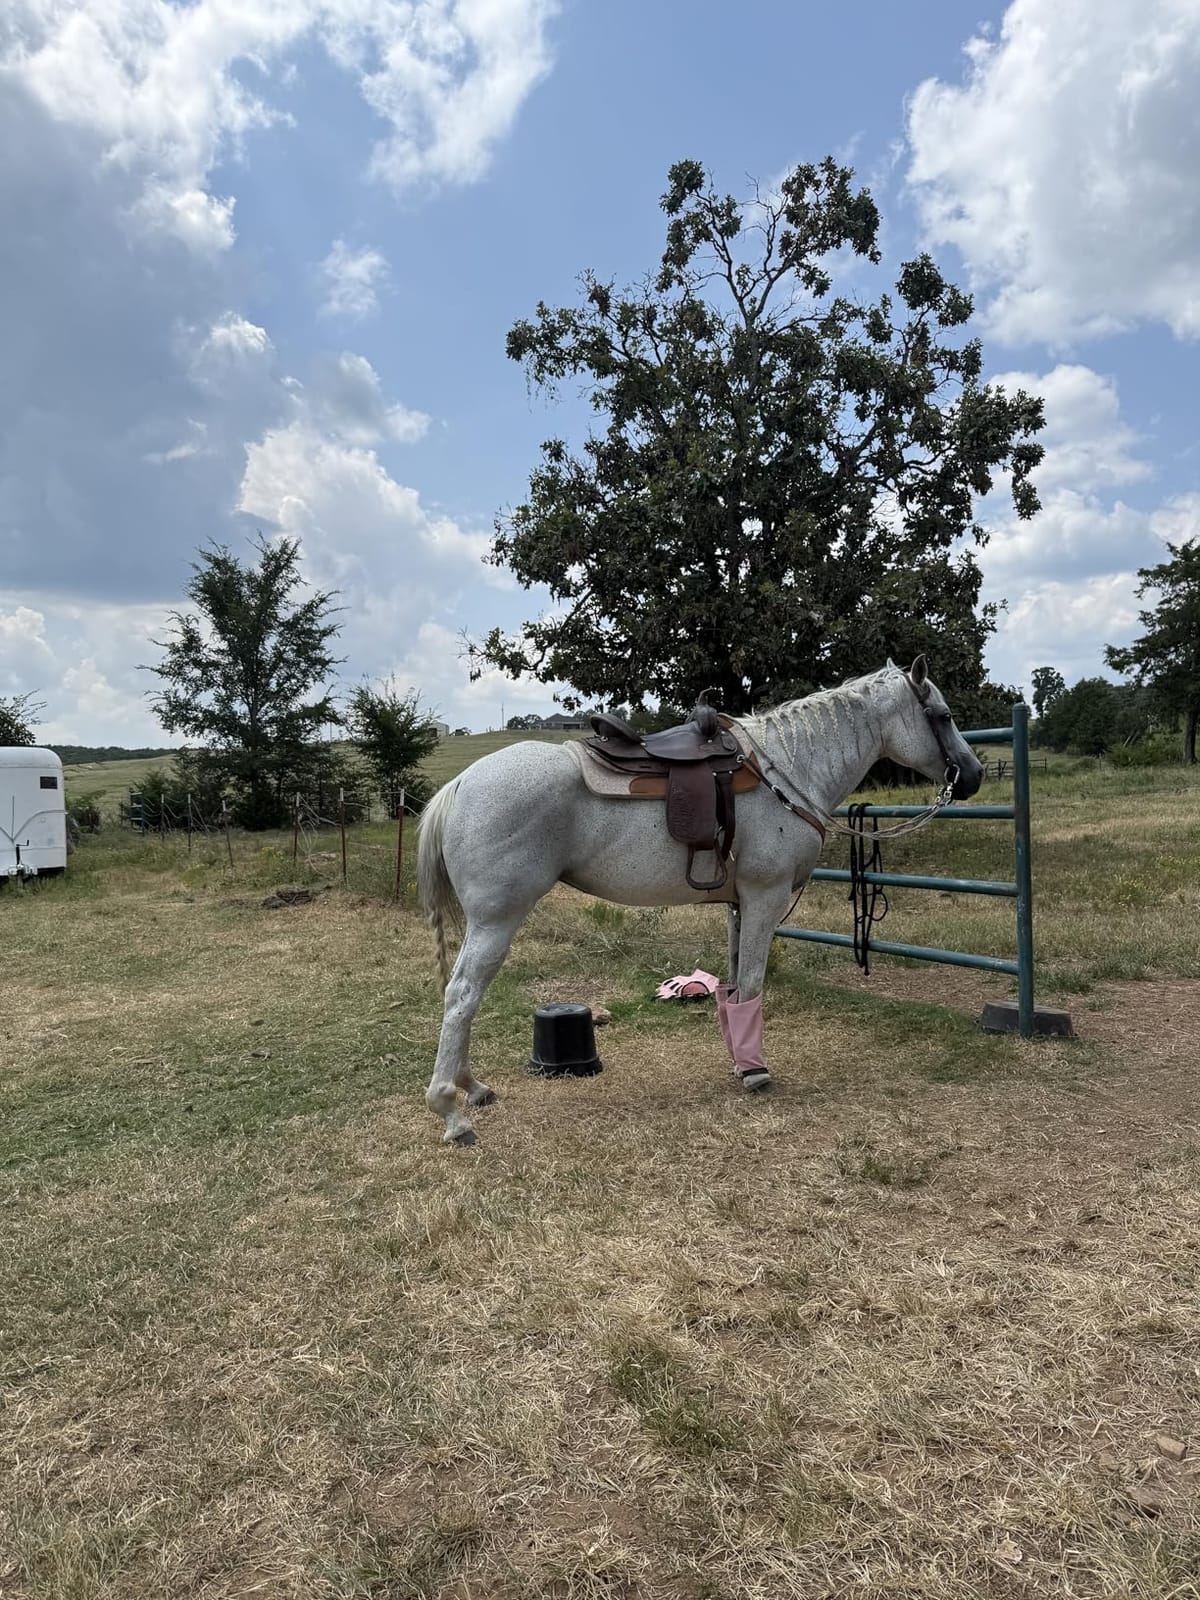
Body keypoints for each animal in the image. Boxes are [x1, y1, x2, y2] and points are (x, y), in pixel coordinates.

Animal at [416, 657, 983, 1144]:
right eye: (944, 715)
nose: (973, 775)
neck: (787, 770)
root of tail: (461, 784)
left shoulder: (738, 904)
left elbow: (732, 988)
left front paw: (739, 1061)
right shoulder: (764, 897)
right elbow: (752, 983)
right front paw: (755, 1072)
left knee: (462, 996)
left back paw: (472, 1088)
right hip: (496, 920)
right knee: (462, 994)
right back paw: (452, 1112)